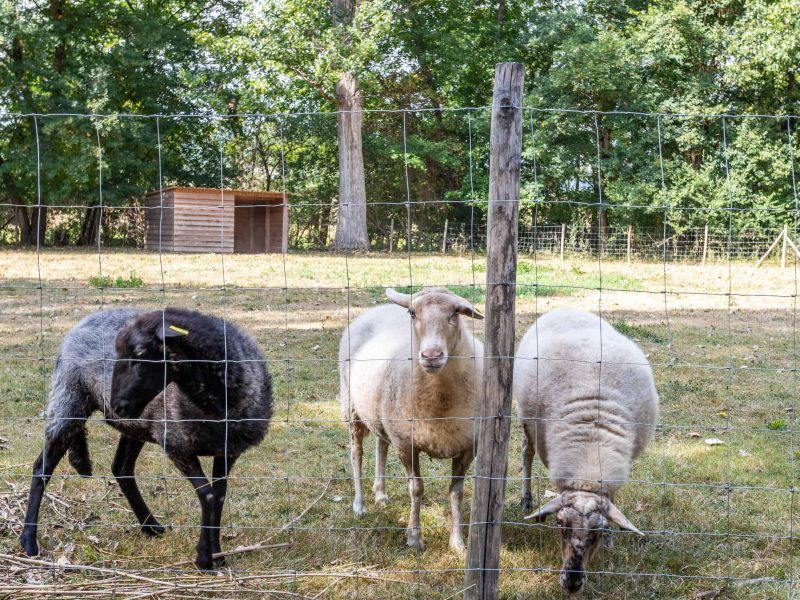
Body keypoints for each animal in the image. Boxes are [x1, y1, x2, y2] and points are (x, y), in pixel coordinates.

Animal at [19, 307, 272, 571]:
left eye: (140, 354)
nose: (116, 404)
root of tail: (82, 322)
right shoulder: (176, 446)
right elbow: (208, 495)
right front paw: (204, 558)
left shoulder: (227, 451)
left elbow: (219, 496)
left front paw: (217, 554)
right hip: (70, 399)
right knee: (41, 469)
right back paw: (28, 541)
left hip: (134, 423)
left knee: (121, 468)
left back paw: (150, 526)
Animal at [339, 287, 484, 553]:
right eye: (413, 313)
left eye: (455, 312)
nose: (431, 355)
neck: (441, 401)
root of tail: (378, 308)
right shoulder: (407, 444)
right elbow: (416, 489)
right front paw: (414, 536)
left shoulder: (468, 446)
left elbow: (456, 493)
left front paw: (458, 543)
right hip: (352, 408)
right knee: (356, 454)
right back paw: (360, 504)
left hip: (382, 413)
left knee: (381, 445)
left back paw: (380, 494)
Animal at [514, 309, 658, 594]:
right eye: (560, 525)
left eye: (598, 532)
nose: (572, 583)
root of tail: (565, 308)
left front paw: (611, 539)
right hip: (527, 422)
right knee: (527, 454)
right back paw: (526, 499)